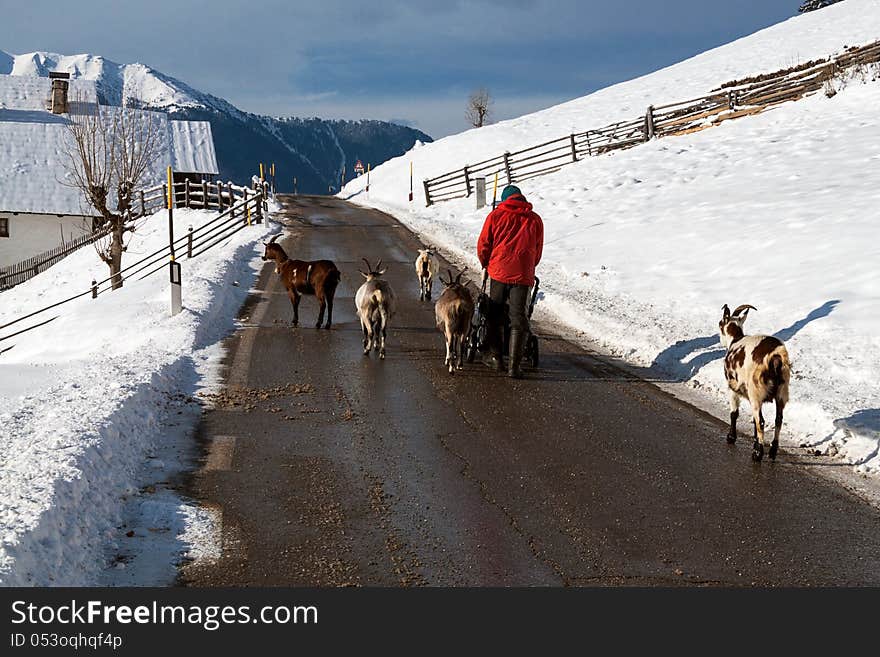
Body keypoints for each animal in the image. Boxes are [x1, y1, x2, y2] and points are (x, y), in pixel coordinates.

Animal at [720, 302, 792, 462]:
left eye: (720, 323)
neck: (736, 339)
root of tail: (775, 357)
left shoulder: (732, 387)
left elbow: (734, 413)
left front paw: (731, 437)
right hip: (782, 391)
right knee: (778, 419)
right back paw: (772, 451)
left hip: (756, 390)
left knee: (762, 421)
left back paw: (757, 454)